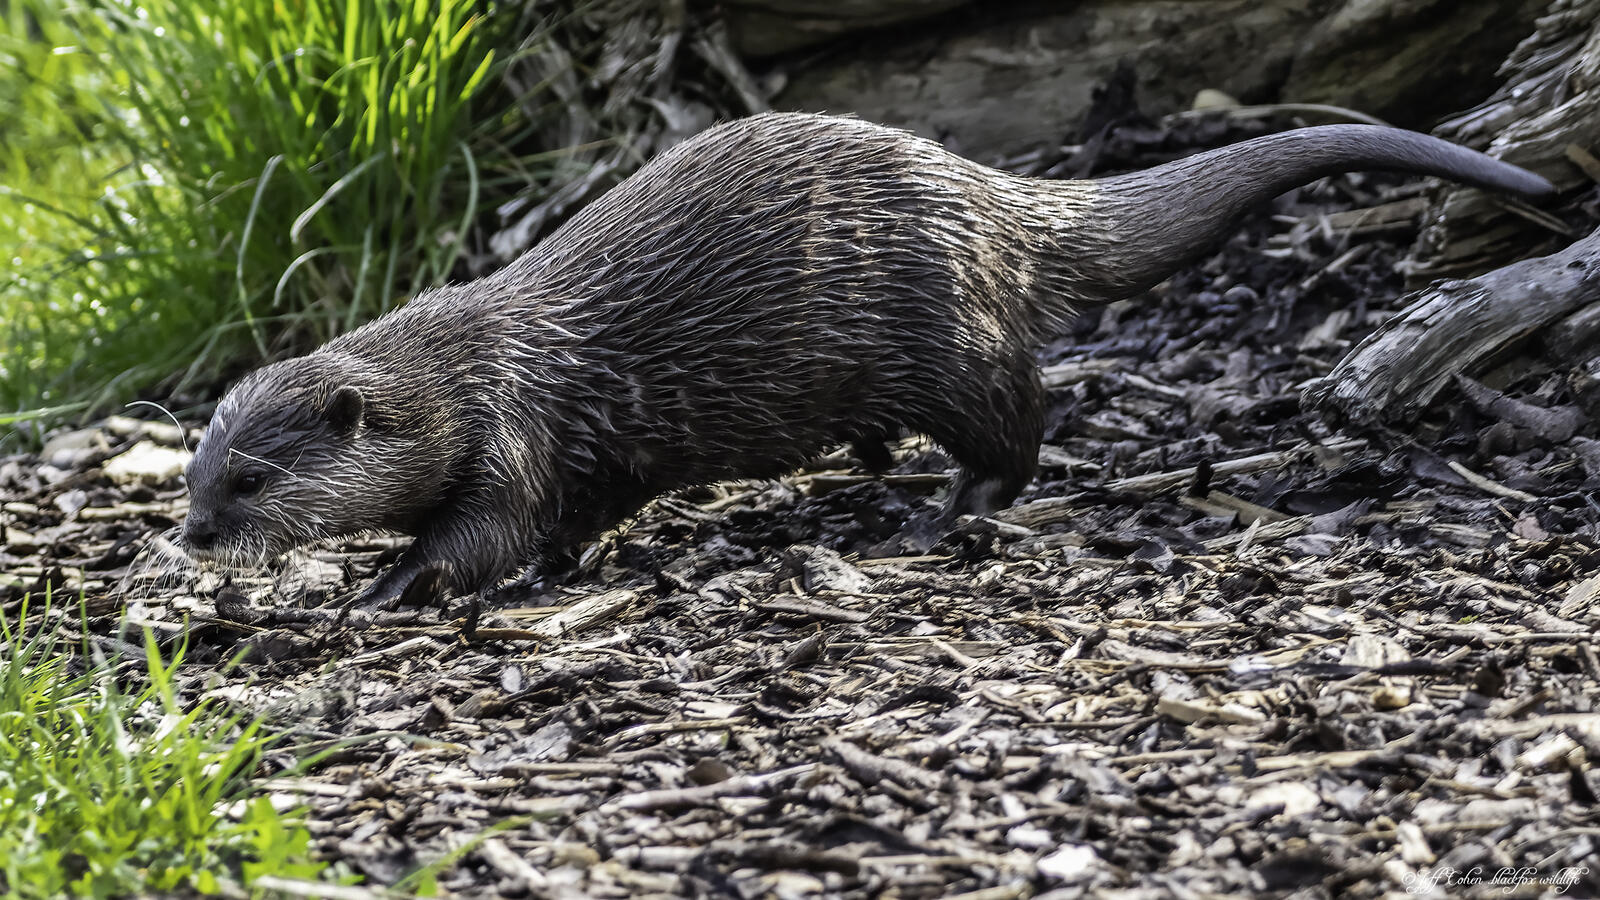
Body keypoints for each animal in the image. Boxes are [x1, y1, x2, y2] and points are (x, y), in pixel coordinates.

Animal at [181, 112, 1554, 605]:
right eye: (195, 470)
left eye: (249, 479)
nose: (191, 536)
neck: (461, 373)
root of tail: (991, 201)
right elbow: (567, 517)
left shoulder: (516, 421)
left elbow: (485, 532)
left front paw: (379, 586)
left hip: (944, 335)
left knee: (1016, 425)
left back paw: (934, 515)